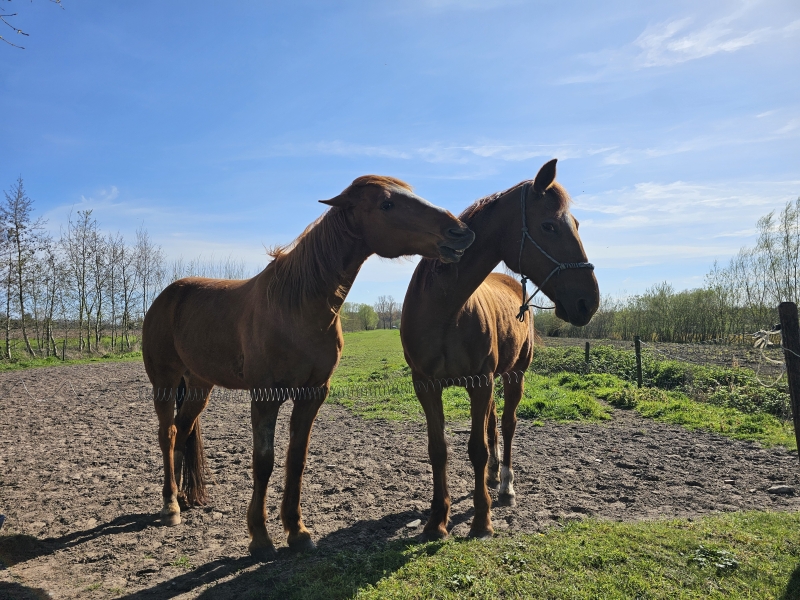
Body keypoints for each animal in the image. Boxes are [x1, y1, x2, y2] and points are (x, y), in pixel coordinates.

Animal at [142, 175, 475, 558]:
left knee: (182, 431)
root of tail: (167, 295)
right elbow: (264, 461)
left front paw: (297, 531)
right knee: (167, 434)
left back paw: (183, 499)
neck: (296, 307)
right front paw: (260, 537)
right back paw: (169, 506)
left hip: (199, 385)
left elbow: (296, 459)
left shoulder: (312, 393)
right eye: (387, 204)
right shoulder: (266, 396)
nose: (460, 232)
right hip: (165, 381)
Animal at [400, 159, 599, 540]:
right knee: (493, 423)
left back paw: (505, 485)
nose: (589, 302)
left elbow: (477, 449)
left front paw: (482, 520)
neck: (444, 308)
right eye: (548, 225)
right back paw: (493, 476)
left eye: (578, 225)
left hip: (513, 376)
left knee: (506, 424)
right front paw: (437, 521)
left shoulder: (481, 382)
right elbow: (439, 450)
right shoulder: (426, 386)